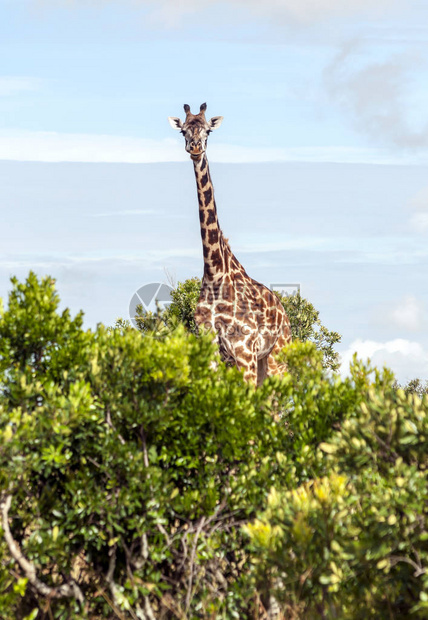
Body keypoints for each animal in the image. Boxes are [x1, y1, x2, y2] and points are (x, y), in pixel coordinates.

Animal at [167, 101, 290, 382]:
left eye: (208, 131)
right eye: (183, 132)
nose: (195, 148)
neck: (215, 274)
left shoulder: (244, 349)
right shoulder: (213, 351)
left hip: (277, 357)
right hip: (261, 362)